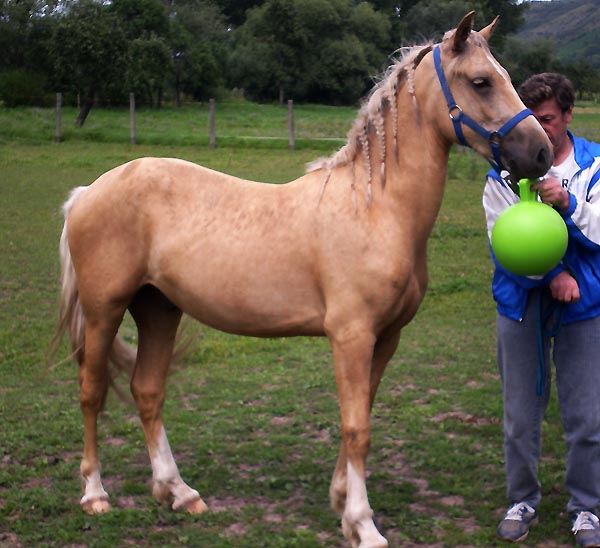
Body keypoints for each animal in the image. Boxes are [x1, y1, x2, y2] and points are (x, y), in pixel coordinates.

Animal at [52, 12, 552, 548]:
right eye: (481, 82)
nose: (542, 153)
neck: (374, 207)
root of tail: (87, 191)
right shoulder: (351, 337)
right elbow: (357, 428)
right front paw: (364, 524)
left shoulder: (385, 338)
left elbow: (361, 416)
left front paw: (342, 504)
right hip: (104, 310)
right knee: (91, 391)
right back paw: (95, 494)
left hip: (158, 308)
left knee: (147, 392)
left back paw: (178, 492)